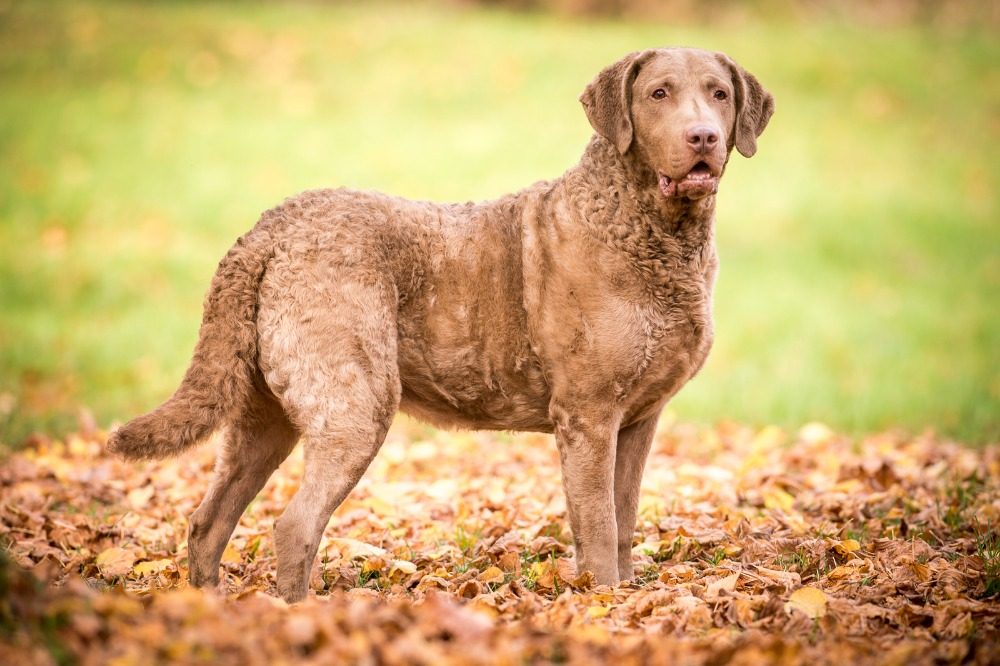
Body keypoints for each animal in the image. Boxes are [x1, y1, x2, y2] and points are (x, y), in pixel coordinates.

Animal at [111, 45, 780, 596]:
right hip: (354, 402)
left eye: (719, 94)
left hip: (263, 412)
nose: (703, 136)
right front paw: (605, 604)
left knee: (209, 520)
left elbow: (622, 518)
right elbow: (595, 526)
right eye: (658, 93)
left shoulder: (639, 419)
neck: (655, 234)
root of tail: (266, 230)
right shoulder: (589, 415)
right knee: (294, 525)